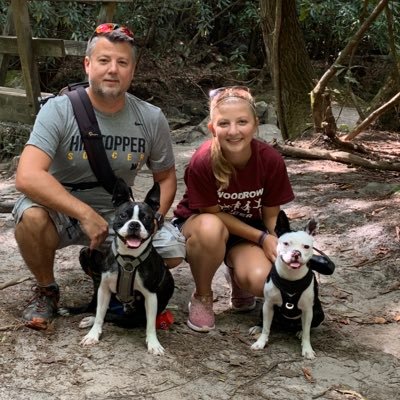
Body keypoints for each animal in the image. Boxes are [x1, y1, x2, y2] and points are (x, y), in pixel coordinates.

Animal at [80, 180, 175, 354]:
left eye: (147, 218)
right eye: (123, 215)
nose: (134, 225)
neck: (129, 258)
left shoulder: (150, 296)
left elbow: (151, 325)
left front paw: (153, 344)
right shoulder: (104, 289)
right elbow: (100, 315)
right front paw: (93, 335)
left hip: (136, 316)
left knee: (116, 317)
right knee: (104, 314)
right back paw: (90, 319)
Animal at [250, 219, 324, 360]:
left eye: (306, 246)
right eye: (286, 243)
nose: (296, 252)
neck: (291, 279)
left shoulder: (308, 310)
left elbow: (307, 332)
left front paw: (307, 349)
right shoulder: (268, 305)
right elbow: (266, 328)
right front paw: (261, 342)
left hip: (318, 313)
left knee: (307, 327)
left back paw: (299, 331)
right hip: (263, 309)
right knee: (266, 323)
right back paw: (257, 327)